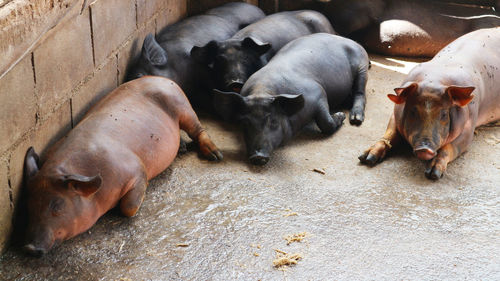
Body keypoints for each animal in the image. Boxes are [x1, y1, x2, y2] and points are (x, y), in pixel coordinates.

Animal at [21, 75, 221, 255]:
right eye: (30, 205)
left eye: (57, 205)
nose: (30, 247)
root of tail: (162, 78)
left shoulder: (137, 170)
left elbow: (129, 208)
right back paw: (183, 148)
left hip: (183, 106)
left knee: (198, 130)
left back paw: (215, 155)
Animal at [213, 32, 370, 164]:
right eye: (244, 123)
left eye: (273, 121)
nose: (258, 156)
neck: (262, 91)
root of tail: (350, 40)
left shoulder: (318, 92)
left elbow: (326, 123)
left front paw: (341, 115)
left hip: (362, 65)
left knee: (360, 92)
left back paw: (355, 119)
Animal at [360, 27, 500, 178]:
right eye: (413, 111)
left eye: (444, 114)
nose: (424, 148)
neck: (435, 80)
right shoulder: (395, 114)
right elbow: (390, 134)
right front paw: (366, 158)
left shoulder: (469, 127)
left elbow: (450, 147)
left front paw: (433, 174)